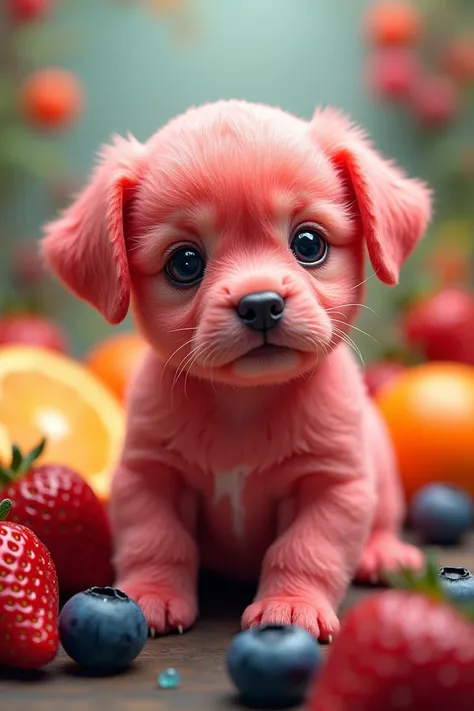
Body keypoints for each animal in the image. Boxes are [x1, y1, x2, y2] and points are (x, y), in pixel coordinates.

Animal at [42, 100, 432, 640]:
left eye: (308, 243)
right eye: (185, 262)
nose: (261, 304)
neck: (242, 407)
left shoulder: (334, 486)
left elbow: (305, 550)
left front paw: (290, 605)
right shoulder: (149, 475)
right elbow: (157, 541)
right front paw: (150, 595)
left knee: (383, 521)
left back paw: (383, 551)